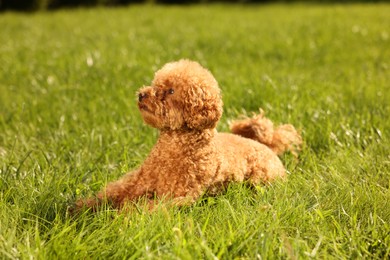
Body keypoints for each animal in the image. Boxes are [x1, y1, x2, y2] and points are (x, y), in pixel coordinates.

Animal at [76, 59, 302, 211]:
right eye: (156, 84)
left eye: (171, 91)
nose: (142, 95)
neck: (173, 148)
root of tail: (268, 146)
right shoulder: (137, 182)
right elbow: (109, 194)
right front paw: (80, 207)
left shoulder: (178, 196)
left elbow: (143, 208)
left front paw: (119, 217)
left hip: (260, 180)